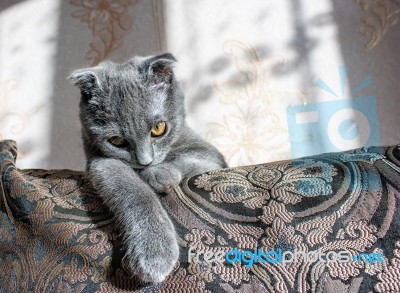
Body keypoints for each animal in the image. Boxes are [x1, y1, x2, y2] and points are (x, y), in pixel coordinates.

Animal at [68, 53, 225, 282]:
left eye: (158, 128)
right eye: (116, 140)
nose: (145, 161)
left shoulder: (210, 155)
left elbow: (187, 159)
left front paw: (160, 174)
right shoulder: (100, 161)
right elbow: (132, 190)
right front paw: (155, 253)